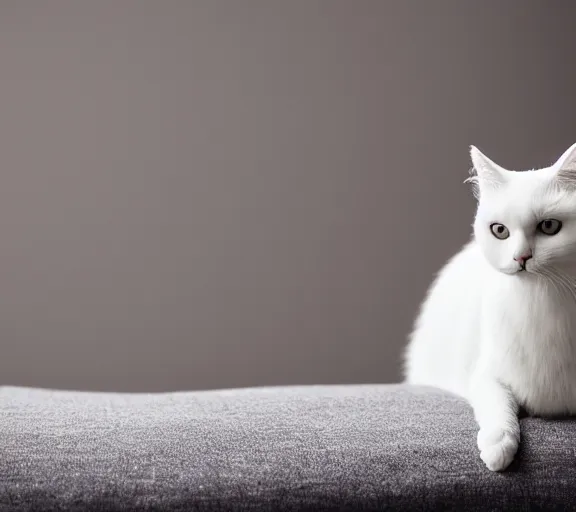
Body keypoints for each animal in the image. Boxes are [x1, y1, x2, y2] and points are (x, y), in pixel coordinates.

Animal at [404, 143, 576, 472]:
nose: (521, 258)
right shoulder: (485, 374)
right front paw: (498, 447)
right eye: (499, 231)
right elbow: (498, 407)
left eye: (549, 226)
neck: (543, 300)